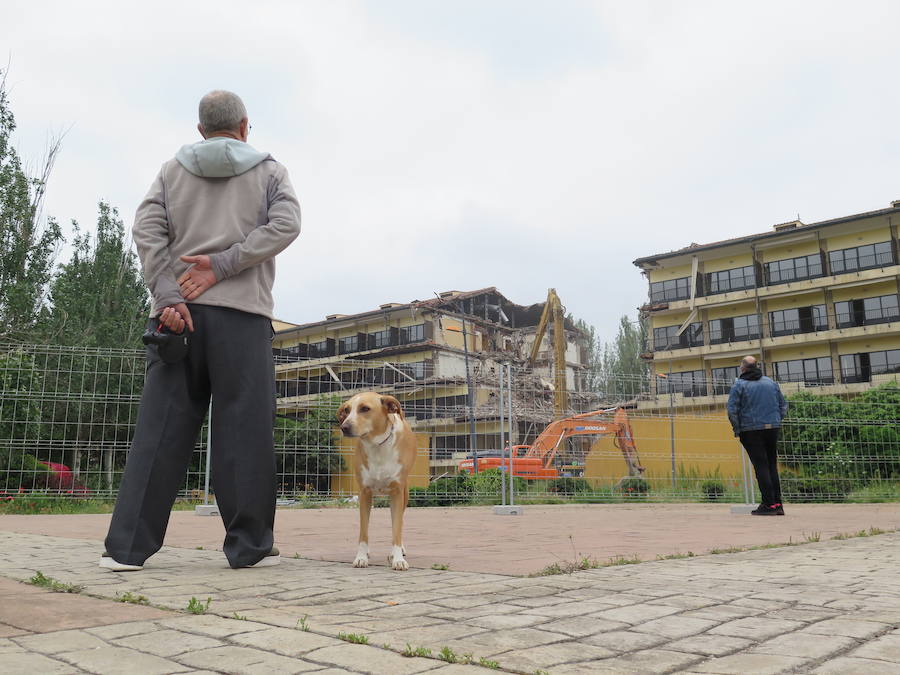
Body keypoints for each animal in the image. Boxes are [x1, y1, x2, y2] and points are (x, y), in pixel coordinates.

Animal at [338, 390, 418, 572]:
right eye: (346, 410)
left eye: (365, 408)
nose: (344, 427)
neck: (377, 446)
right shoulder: (364, 493)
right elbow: (363, 531)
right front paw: (361, 557)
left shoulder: (397, 492)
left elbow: (397, 528)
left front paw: (397, 559)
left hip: (405, 494)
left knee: (399, 522)